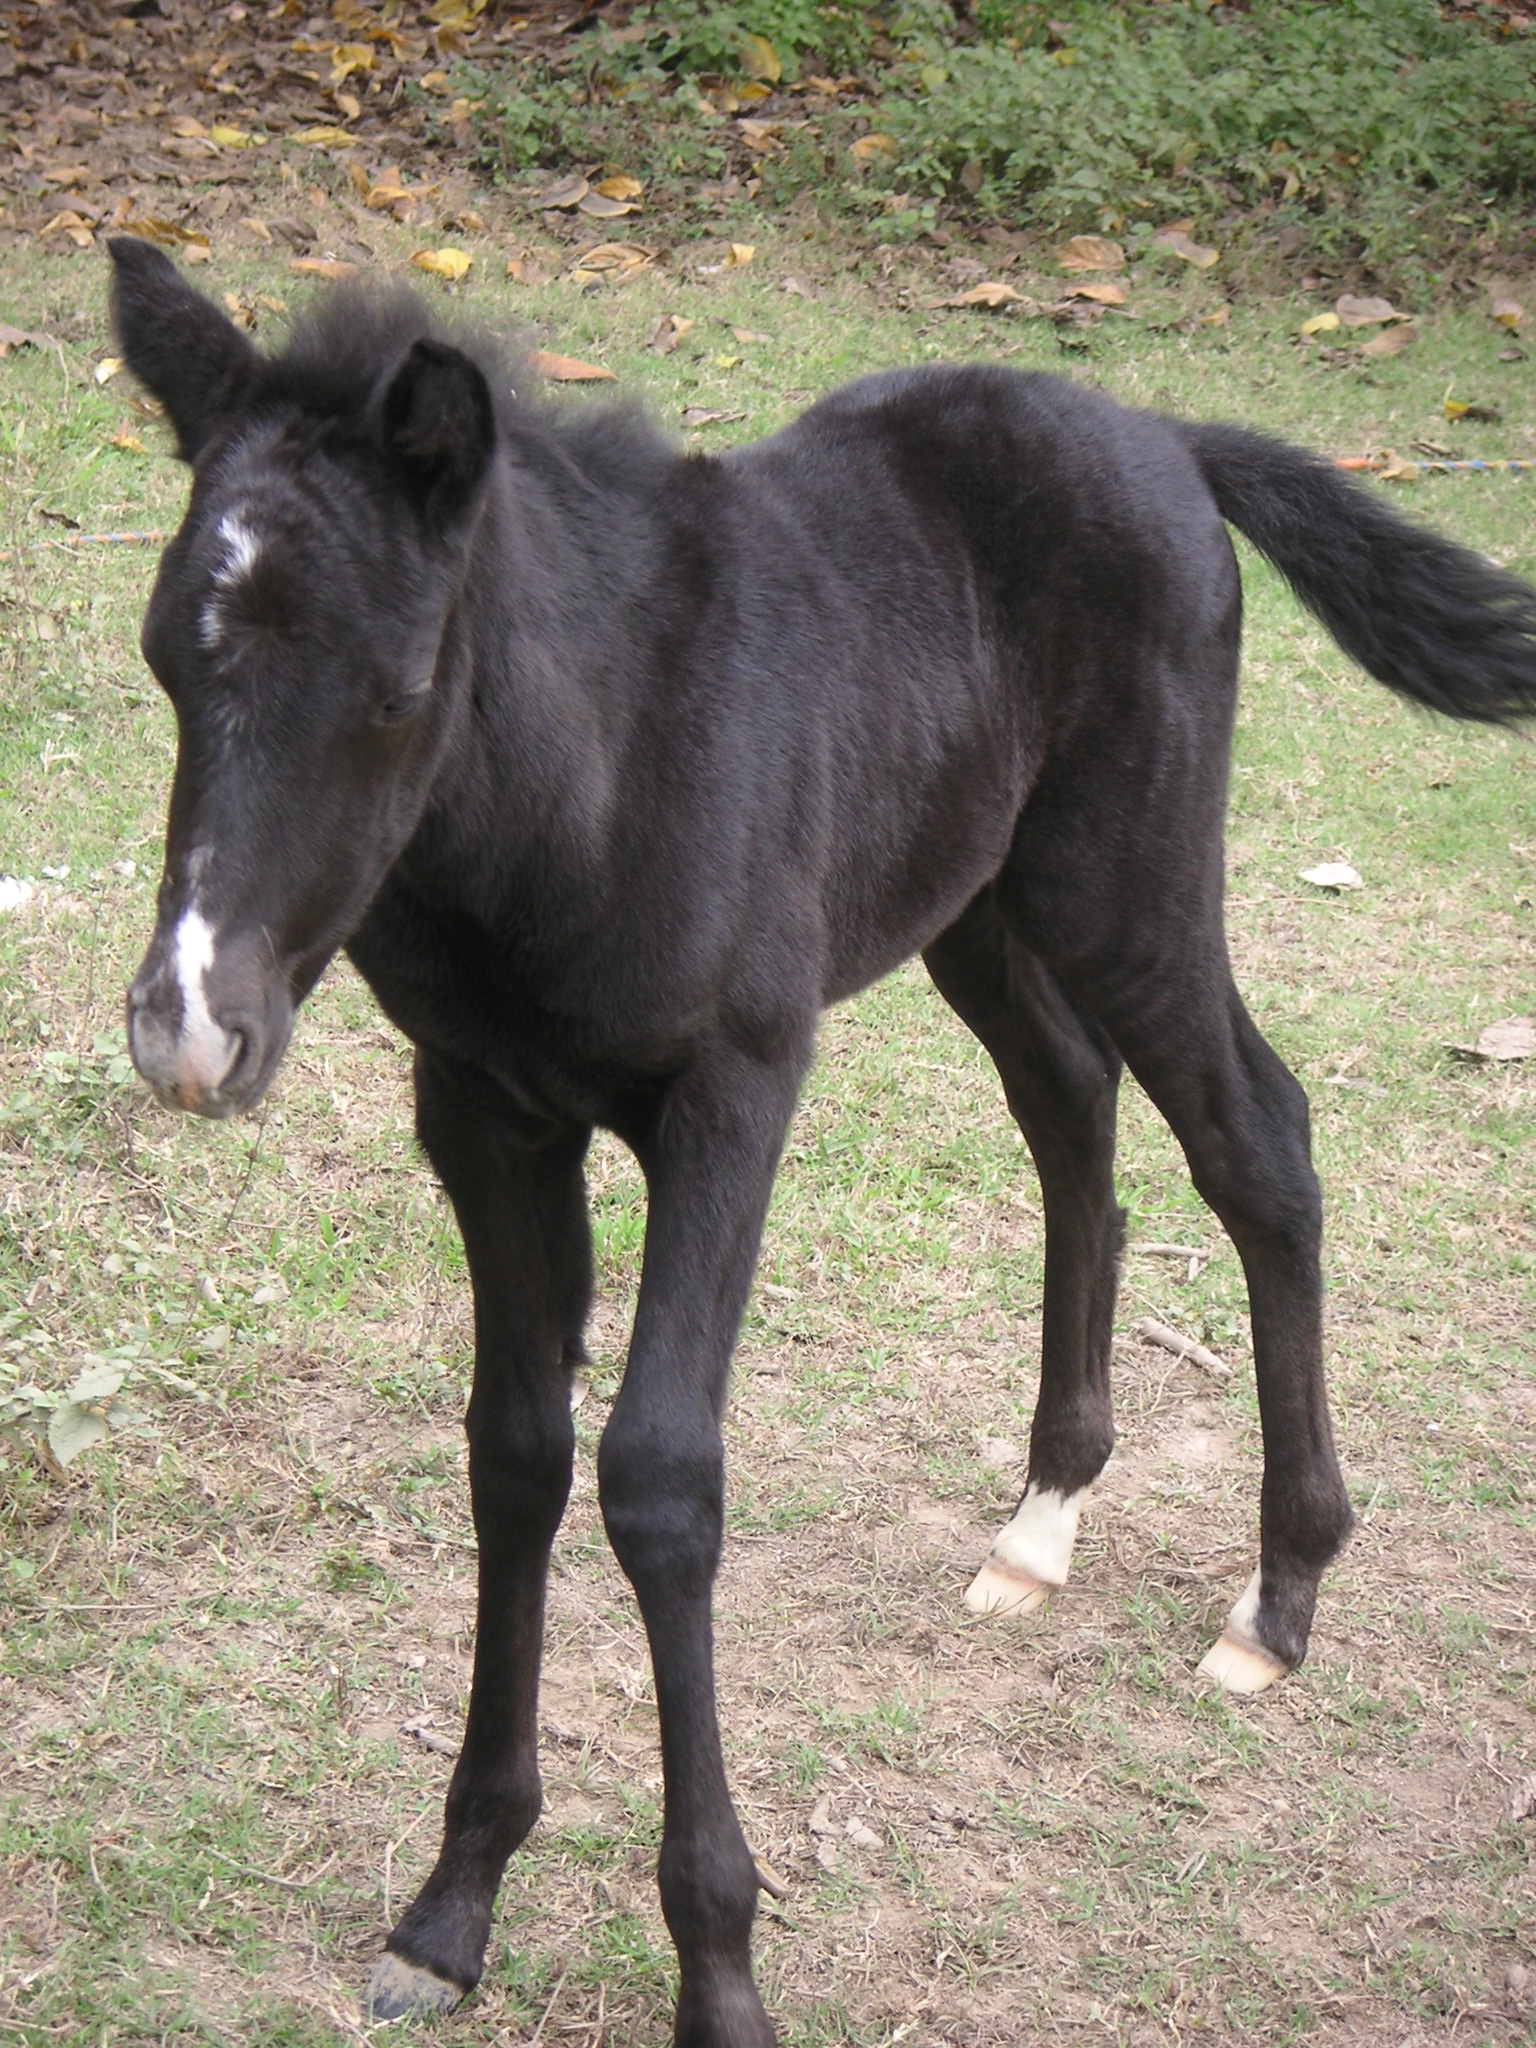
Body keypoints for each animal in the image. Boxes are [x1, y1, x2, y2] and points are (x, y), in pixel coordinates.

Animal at [111, 232, 1536, 2039]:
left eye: (394, 688)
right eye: (168, 661)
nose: (188, 1028)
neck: (589, 778)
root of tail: (1160, 433)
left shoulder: (732, 1091)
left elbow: (659, 1478)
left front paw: (719, 1966)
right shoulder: (486, 1114)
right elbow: (516, 1452)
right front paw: (451, 1903)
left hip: (1122, 883)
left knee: (1255, 1143)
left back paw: (1278, 1603)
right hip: (981, 907)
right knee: (1071, 1110)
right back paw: (1042, 1521)